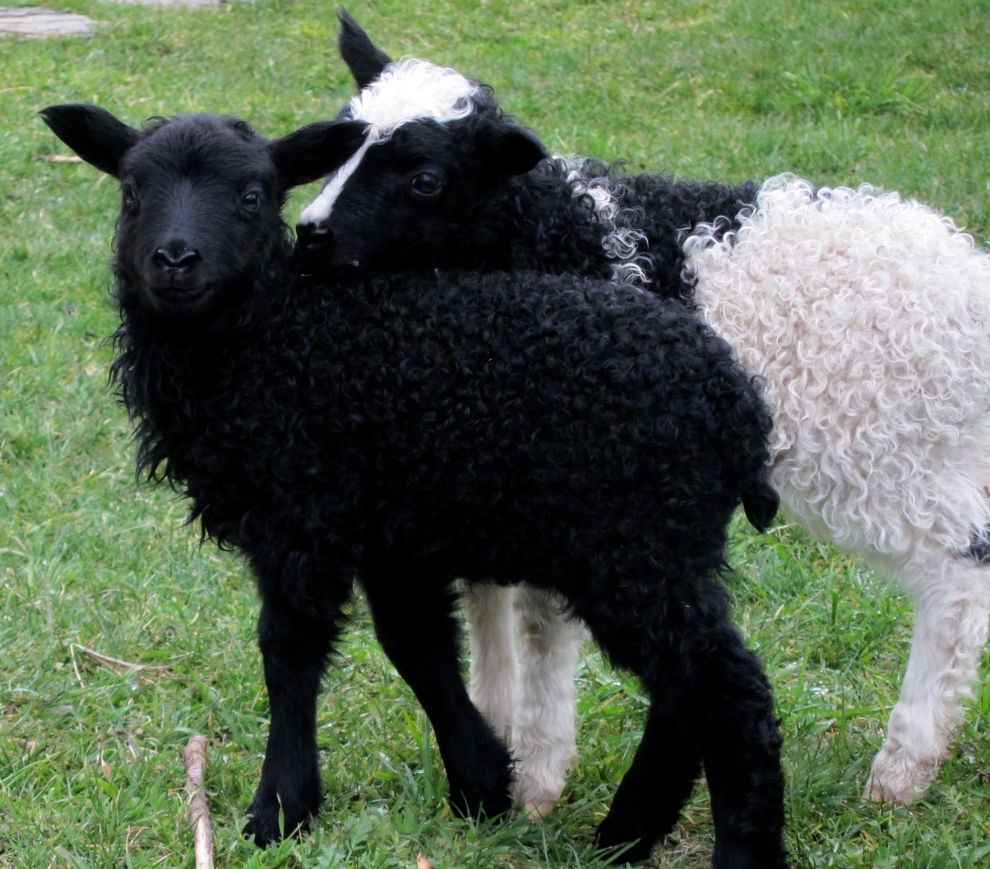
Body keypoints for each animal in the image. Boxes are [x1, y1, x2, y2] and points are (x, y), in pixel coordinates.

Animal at [40, 98, 792, 864]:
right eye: (132, 193)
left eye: (253, 196)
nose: (174, 260)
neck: (275, 339)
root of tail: (735, 402)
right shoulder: (388, 525)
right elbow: (419, 644)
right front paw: (482, 784)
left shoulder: (302, 514)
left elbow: (289, 653)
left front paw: (280, 806)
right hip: (670, 550)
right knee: (687, 688)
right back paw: (628, 832)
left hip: (634, 545)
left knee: (731, 695)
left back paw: (728, 848)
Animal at [296, 11, 990, 812]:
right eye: (336, 145)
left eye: (425, 180)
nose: (309, 235)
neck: (544, 236)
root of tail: (973, 286)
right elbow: (486, 605)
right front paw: (494, 742)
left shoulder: (562, 475)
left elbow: (538, 624)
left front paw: (536, 777)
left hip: (880, 445)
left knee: (958, 573)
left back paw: (902, 768)